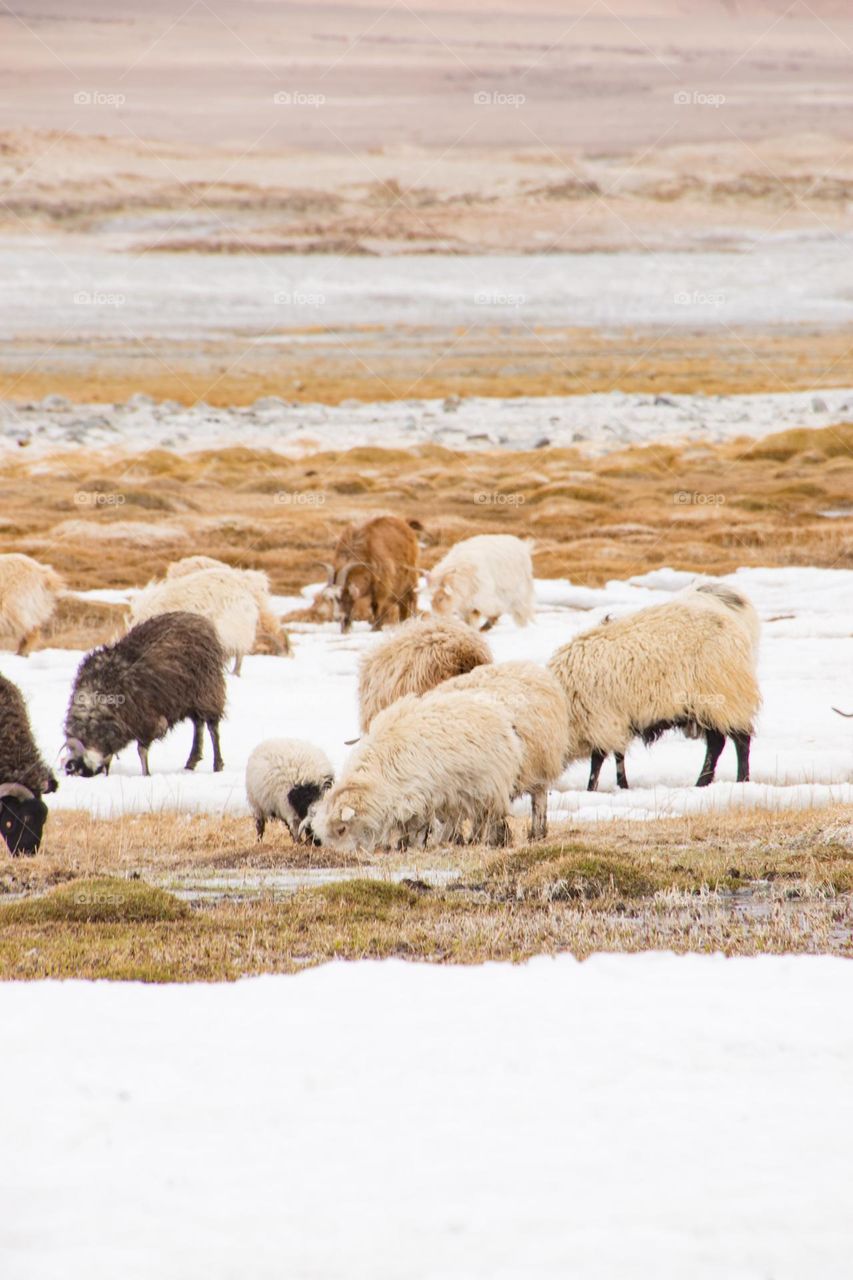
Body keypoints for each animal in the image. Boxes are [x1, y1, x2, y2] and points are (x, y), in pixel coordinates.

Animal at [64, 611, 226, 778]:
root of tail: (199, 619)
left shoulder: (146, 720)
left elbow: (141, 749)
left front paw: (146, 774)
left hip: (208, 689)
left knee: (212, 726)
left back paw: (217, 765)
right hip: (190, 697)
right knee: (198, 723)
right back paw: (191, 761)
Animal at [313, 689, 522, 853]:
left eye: (341, 829)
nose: (341, 855)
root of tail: (496, 710)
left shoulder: (415, 798)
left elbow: (416, 827)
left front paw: (412, 845)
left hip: (488, 786)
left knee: (487, 817)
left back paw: (484, 840)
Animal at [547, 584, 761, 791]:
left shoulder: (603, 720)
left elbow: (598, 759)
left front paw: (592, 788)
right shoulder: (618, 720)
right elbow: (618, 754)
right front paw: (622, 786)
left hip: (725, 695)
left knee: (741, 740)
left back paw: (741, 780)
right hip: (708, 705)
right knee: (717, 743)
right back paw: (703, 783)